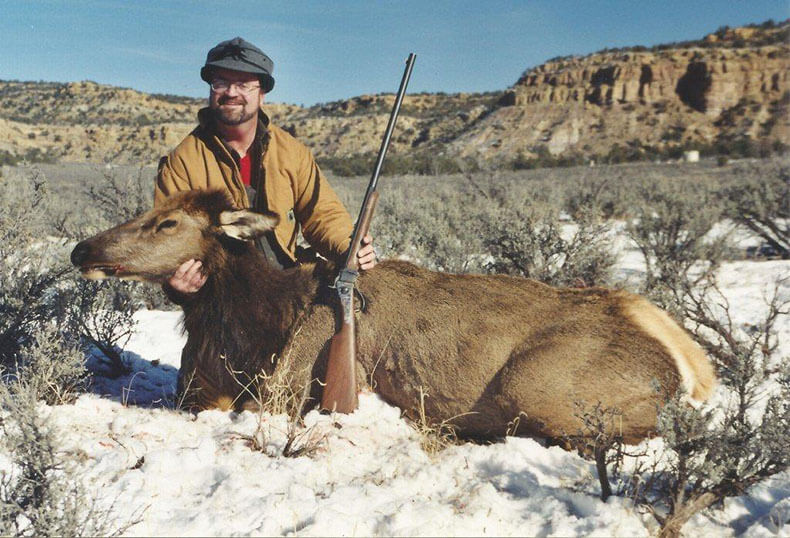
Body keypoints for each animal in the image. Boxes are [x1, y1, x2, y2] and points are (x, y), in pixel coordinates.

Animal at [70, 189, 716, 443]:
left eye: (166, 222)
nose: (82, 249)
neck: (251, 328)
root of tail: (683, 365)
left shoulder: (281, 388)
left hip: (533, 384)